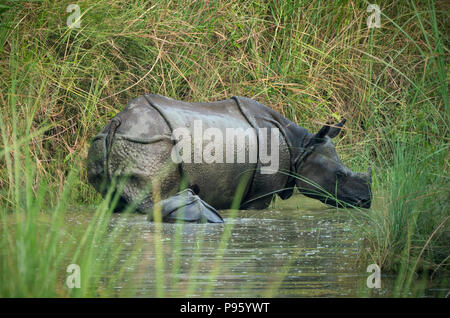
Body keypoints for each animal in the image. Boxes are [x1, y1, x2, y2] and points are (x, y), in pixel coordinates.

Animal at [86, 94, 370, 222]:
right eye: (339, 175)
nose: (366, 201)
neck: (300, 147)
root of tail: (117, 122)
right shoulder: (259, 195)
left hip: (109, 143)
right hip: (150, 145)